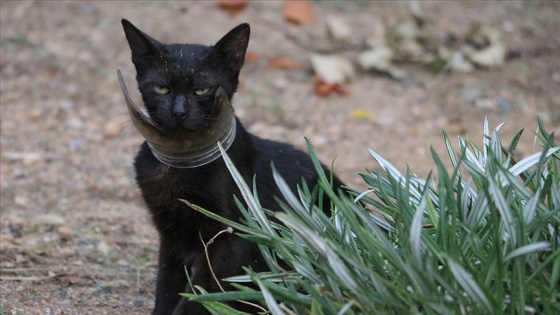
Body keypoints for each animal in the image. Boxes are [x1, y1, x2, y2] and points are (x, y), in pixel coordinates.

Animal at [120, 19, 344, 315]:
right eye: (161, 89)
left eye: (201, 90)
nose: (179, 112)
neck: (181, 163)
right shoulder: (170, 236)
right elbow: (166, 289)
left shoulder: (232, 239)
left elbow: (199, 296)